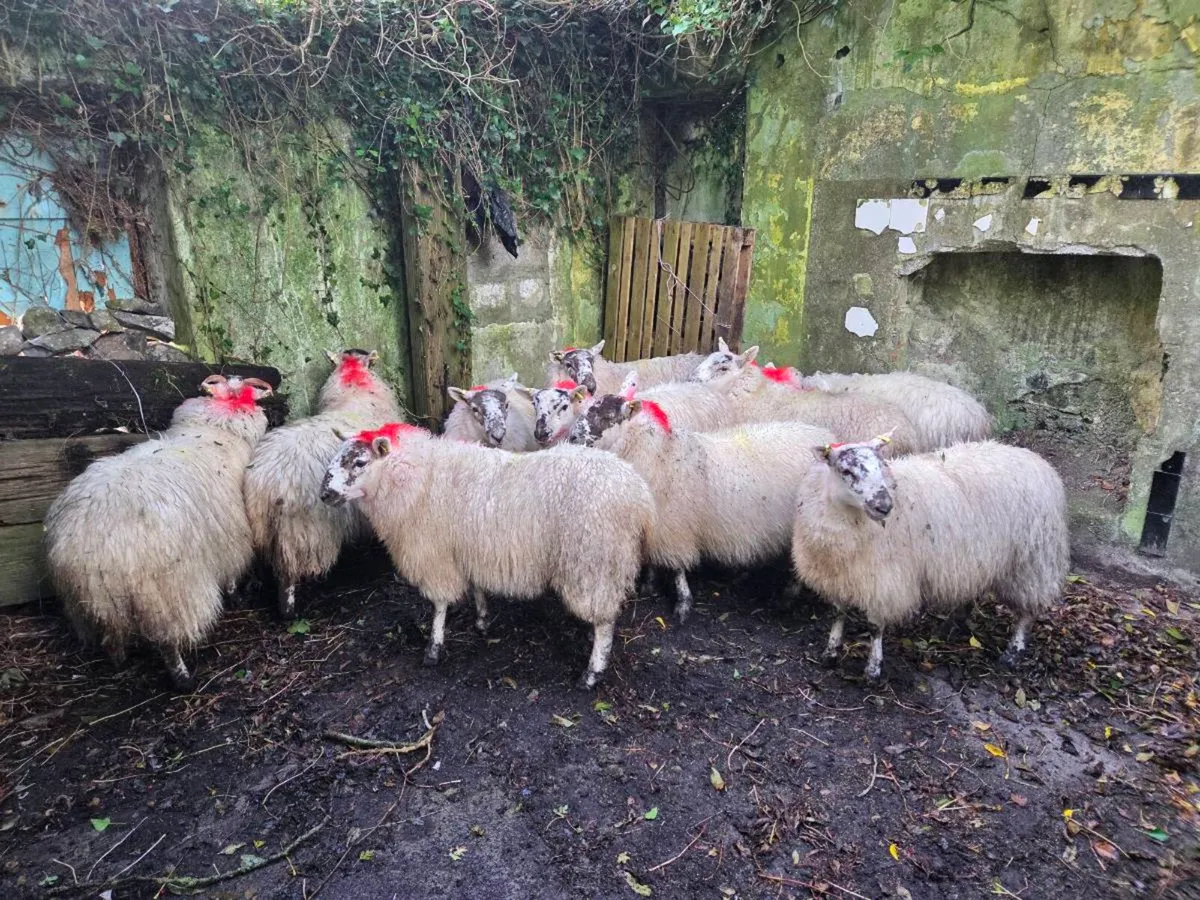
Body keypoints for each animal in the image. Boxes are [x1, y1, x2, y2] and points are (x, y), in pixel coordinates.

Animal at [43, 374, 274, 691]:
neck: (214, 429)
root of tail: (88, 550)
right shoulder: (230, 537)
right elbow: (230, 573)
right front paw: (234, 595)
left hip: (94, 605)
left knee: (111, 638)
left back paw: (120, 662)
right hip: (167, 594)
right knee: (168, 641)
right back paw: (183, 678)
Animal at [243, 348, 402, 618]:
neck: (355, 388)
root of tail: (268, 480)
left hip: (267, 530)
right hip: (301, 530)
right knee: (288, 573)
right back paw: (289, 611)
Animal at [318, 423, 655, 688]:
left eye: (360, 461)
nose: (324, 495)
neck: (416, 479)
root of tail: (640, 495)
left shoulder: (435, 555)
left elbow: (439, 605)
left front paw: (434, 648)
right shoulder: (470, 548)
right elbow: (476, 586)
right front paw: (481, 620)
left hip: (594, 559)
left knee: (605, 621)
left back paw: (592, 672)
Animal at [567, 393, 834, 622]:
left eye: (606, 415)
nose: (571, 438)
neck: (660, 453)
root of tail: (828, 438)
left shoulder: (675, 526)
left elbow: (677, 569)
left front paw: (683, 604)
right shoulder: (657, 525)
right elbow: (652, 557)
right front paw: (649, 584)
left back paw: (787, 597)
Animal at [791, 436, 1069, 681]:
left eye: (882, 466)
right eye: (846, 471)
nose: (884, 505)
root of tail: (1036, 460)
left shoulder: (885, 580)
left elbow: (875, 627)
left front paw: (873, 670)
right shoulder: (839, 573)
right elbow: (838, 613)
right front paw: (831, 652)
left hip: (1031, 559)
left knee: (1027, 610)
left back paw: (1013, 653)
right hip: (981, 556)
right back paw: (954, 624)